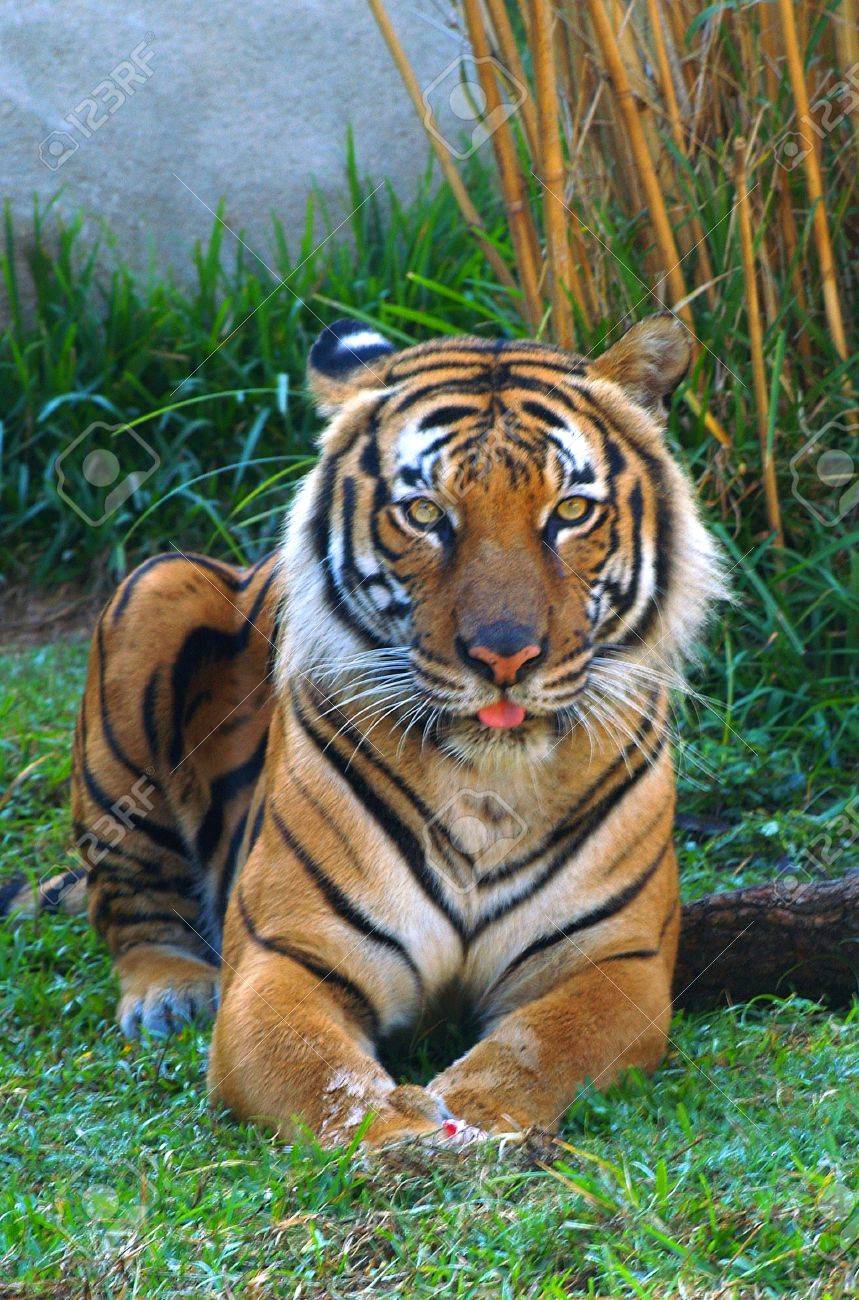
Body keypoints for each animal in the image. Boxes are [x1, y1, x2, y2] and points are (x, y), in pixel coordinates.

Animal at [7, 313, 725, 1146]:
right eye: (425, 515)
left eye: (571, 513)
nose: (504, 656)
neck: (488, 783)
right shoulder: (287, 956)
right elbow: (321, 1073)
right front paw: (402, 1137)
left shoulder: (616, 962)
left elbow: (543, 1045)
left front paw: (473, 1112)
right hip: (156, 586)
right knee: (129, 903)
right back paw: (171, 994)